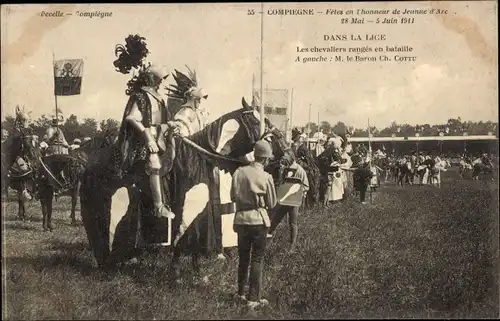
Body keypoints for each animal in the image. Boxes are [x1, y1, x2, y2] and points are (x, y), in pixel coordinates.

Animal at [79, 97, 288, 282]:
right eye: (258, 120)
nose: (286, 153)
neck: (199, 158)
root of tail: (90, 165)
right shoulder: (186, 207)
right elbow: (181, 239)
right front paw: (177, 274)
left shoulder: (205, 214)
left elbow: (195, 242)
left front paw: (198, 273)